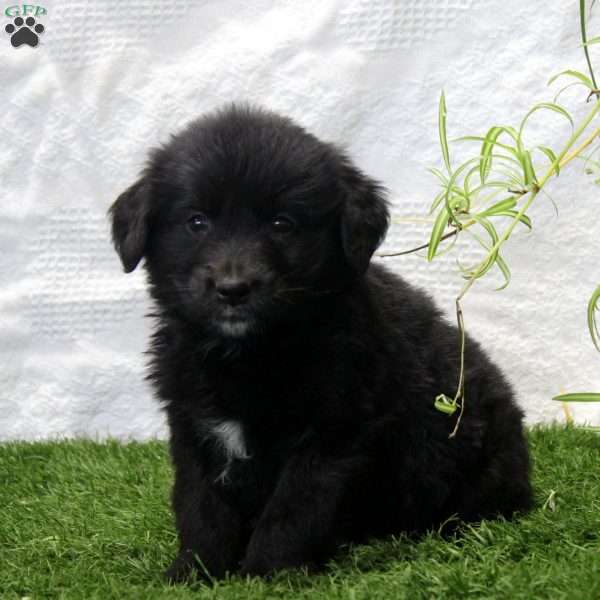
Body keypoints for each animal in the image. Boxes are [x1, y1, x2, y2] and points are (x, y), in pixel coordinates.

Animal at [110, 104, 532, 580]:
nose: (233, 288)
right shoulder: (193, 427)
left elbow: (292, 511)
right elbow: (200, 507)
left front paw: (266, 575)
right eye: (196, 222)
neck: (252, 354)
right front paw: (194, 573)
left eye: (282, 223)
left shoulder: (331, 433)